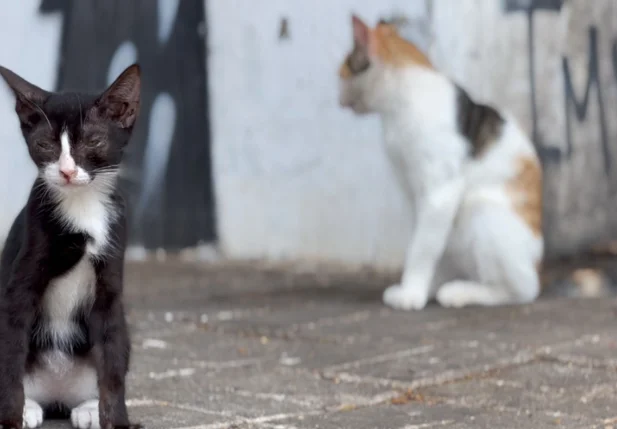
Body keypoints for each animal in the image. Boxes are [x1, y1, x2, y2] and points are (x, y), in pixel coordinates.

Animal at [0, 64, 142, 428]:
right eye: (45, 145)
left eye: (93, 141)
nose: (66, 171)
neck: (83, 205)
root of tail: (57, 396)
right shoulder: (20, 281)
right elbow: (10, 349)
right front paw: (11, 416)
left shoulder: (110, 283)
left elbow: (112, 360)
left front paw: (116, 418)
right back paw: (28, 407)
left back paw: (88, 407)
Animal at [336, 14, 544, 308]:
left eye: (342, 71)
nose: (337, 96)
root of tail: (539, 266)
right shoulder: (415, 193)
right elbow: (425, 240)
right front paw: (422, 288)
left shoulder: (441, 191)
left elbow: (422, 247)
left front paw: (411, 293)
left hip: (480, 211)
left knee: (522, 290)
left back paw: (460, 292)